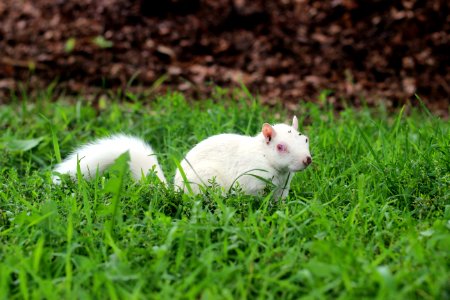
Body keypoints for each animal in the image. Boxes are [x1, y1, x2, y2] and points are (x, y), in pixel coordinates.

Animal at [52, 116, 312, 199]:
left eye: (306, 139)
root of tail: (176, 191)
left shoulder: (282, 187)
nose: (307, 160)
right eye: (280, 146)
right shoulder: (250, 179)